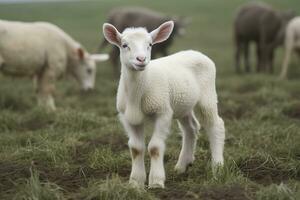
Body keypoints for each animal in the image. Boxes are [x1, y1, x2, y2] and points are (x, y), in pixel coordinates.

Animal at [103, 21, 225, 188]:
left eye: (150, 44)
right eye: (124, 45)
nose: (141, 59)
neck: (137, 94)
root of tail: (197, 53)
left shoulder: (163, 112)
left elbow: (154, 147)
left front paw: (156, 182)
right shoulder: (127, 118)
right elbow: (136, 149)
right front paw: (135, 183)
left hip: (207, 96)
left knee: (215, 125)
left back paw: (217, 167)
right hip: (182, 104)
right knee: (191, 128)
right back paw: (182, 166)